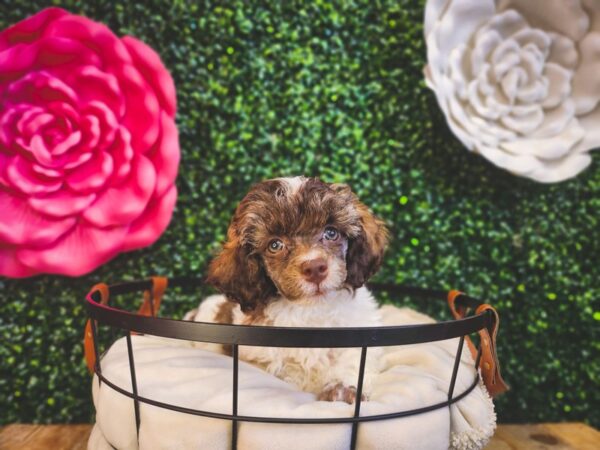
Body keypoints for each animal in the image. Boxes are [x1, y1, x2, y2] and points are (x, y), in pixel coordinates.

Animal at [188, 177, 390, 404]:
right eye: (275, 245)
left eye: (331, 232)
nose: (314, 268)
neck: (312, 308)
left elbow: (353, 358)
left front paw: (342, 388)